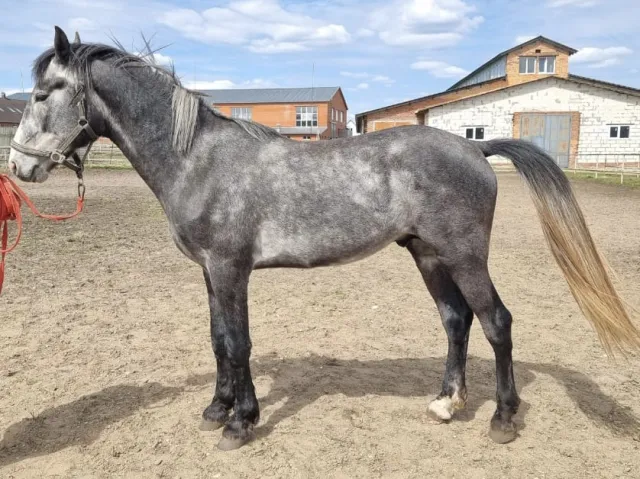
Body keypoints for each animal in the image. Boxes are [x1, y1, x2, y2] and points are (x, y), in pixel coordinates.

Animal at [8, 27, 640, 451]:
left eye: (43, 94)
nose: (19, 167)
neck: (197, 160)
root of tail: (475, 147)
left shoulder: (230, 269)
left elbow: (238, 343)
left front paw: (240, 423)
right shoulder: (209, 272)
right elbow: (217, 341)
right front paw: (216, 408)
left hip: (464, 256)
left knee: (496, 323)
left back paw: (503, 420)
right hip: (428, 255)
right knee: (455, 321)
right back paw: (445, 403)